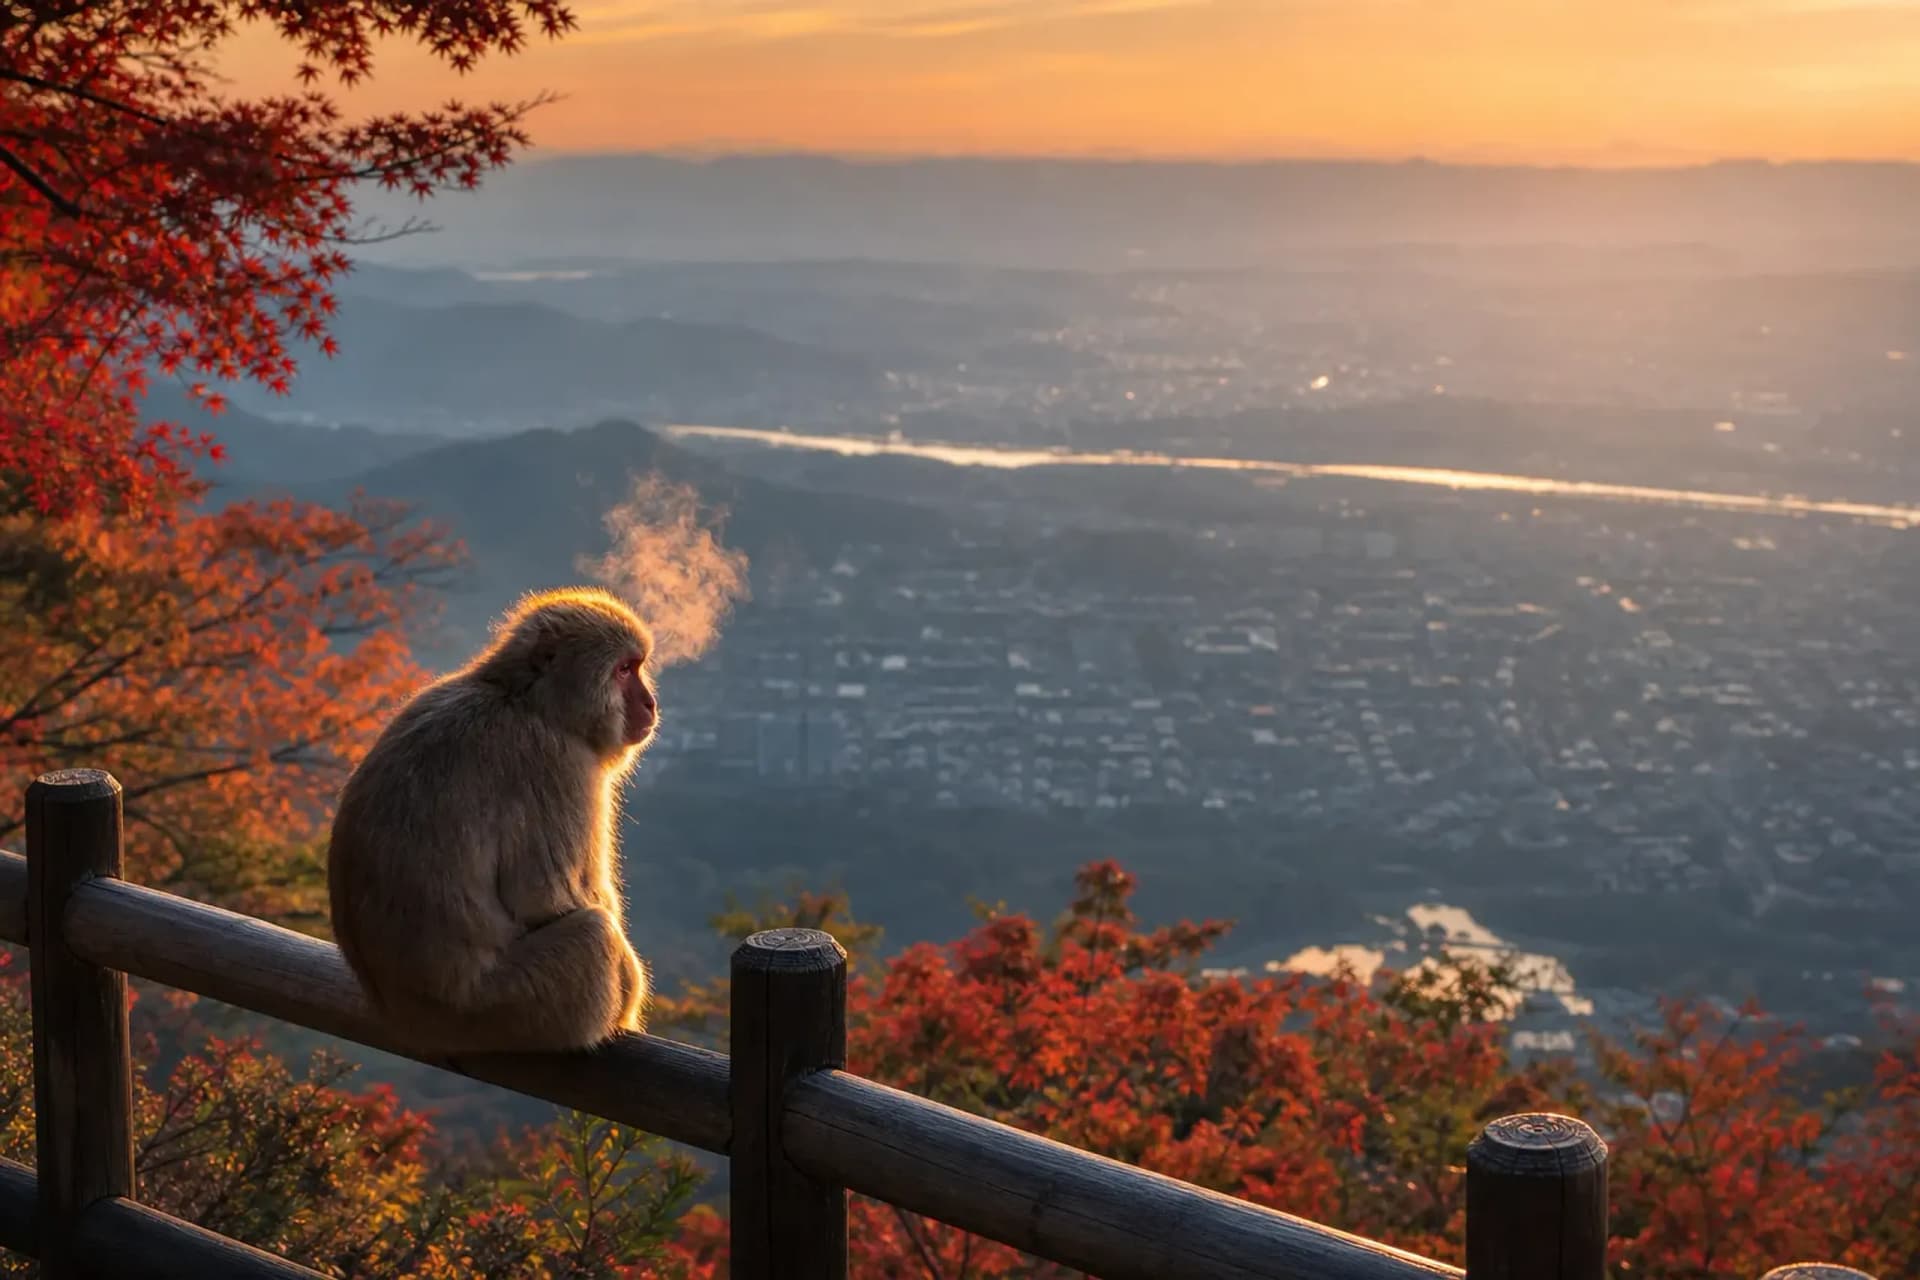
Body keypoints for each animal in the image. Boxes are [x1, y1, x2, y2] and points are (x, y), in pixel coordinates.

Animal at [326, 587, 660, 1056]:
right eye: (624, 670)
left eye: (637, 666)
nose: (650, 703)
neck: (524, 698)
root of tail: (409, 1021)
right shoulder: (558, 764)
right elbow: (547, 898)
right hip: (510, 1007)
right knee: (593, 935)